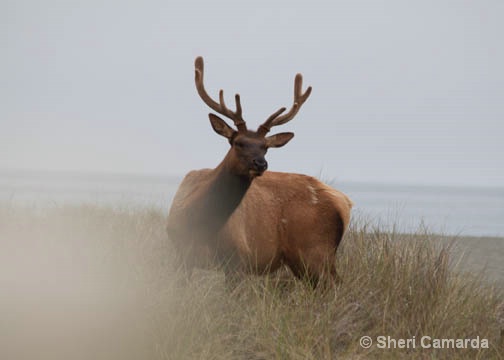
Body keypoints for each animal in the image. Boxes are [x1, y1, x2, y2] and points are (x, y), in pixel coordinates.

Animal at [167, 55, 352, 286]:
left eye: (265, 146)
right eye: (238, 142)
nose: (261, 164)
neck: (199, 223)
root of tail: (345, 203)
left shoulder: (238, 258)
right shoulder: (181, 255)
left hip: (315, 250)